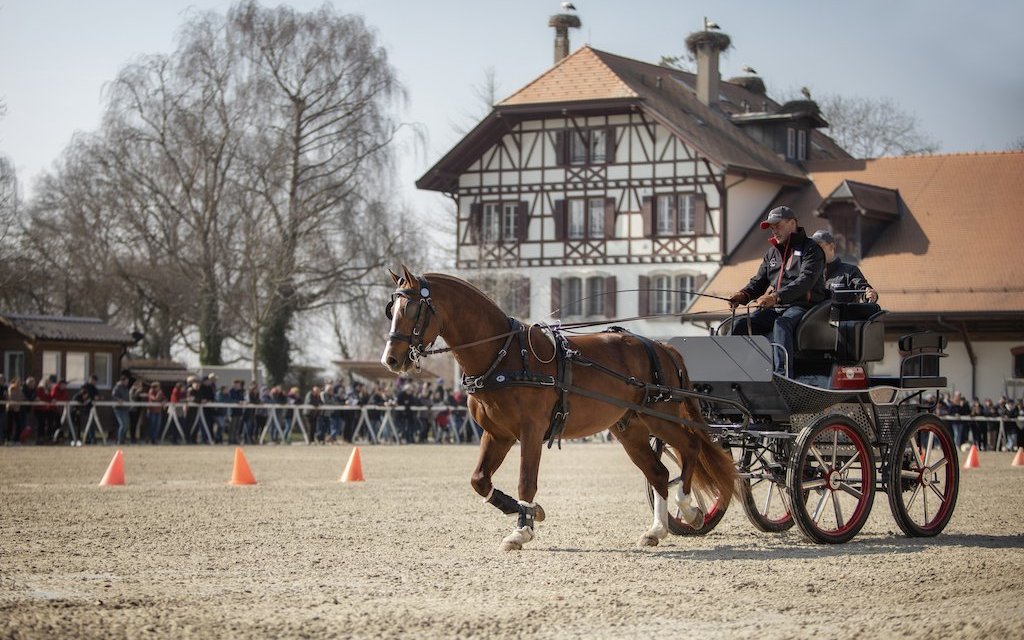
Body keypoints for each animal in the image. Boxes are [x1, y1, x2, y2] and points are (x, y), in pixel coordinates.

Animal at [378, 266, 737, 548]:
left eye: (412, 310)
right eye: (390, 310)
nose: (390, 360)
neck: (503, 354)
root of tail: (661, 345)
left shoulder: (531, 431)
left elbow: (526, 480)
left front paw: (521, 531)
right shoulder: (497, 434)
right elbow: (479, 480)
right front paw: (528, 511)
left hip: (659, 416)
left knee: (690, 447)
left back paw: (689, 508)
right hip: (629, 427)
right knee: (660, 472)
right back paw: (657, 529)